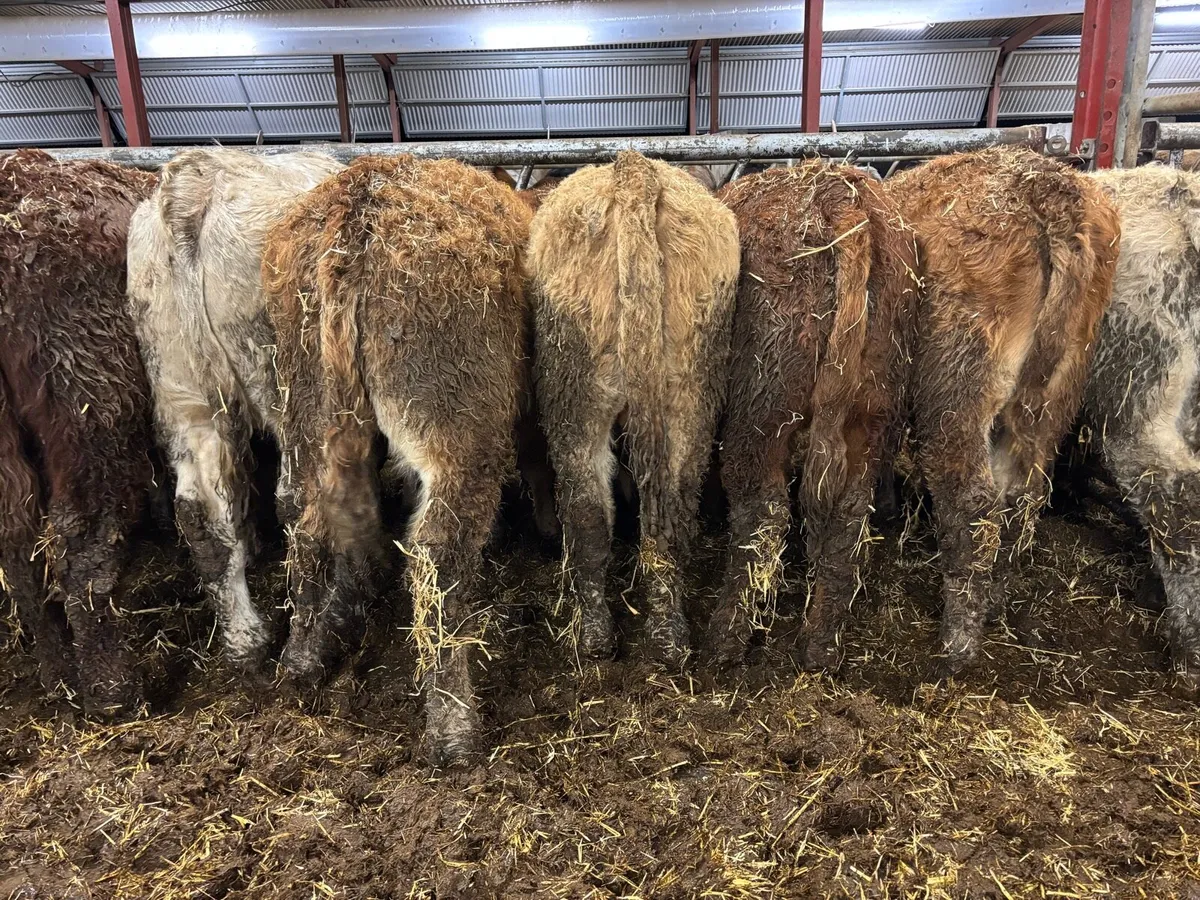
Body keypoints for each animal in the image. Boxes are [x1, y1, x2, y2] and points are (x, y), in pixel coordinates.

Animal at [126, 149, 344, 670]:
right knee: (300, 502)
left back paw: (244, 639)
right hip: (288, 389)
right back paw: (306, 649)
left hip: (183, 393)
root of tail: (193, 182)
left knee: (198, 514)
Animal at [261, 155, 531, 766]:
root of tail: (360, 201)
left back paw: (305, 656)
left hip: (310, 409)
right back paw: (454, 727)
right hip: (460, 431)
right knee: (437, 555)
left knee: (308, 524)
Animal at [526, 151, 740, 664]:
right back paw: (667, 636)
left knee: (584, 509)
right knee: (670, 510)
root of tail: (634, 169)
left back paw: (595, 634)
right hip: (690, 393)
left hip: (574, 391)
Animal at [704, 161, 919, 669]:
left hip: (761, 410)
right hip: (872, 414)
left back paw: (726, 638)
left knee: (763, 509)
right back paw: (820, 647)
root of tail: (836, 195)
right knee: (848, 515)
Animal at [886, 147, 1120, 674]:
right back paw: (993, 603)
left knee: (971, 498)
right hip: (1053, 394)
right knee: (1023, 494)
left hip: (956, 388)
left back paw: (958, 641)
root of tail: (1049, 189)